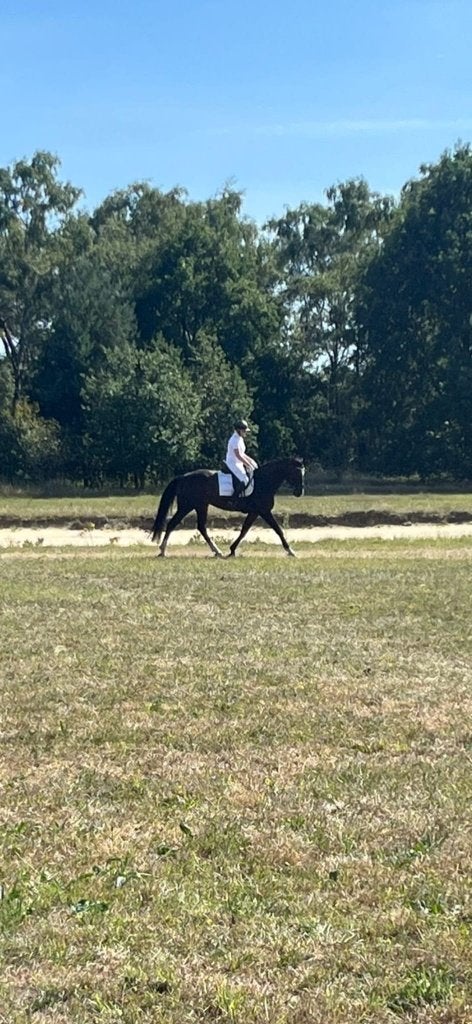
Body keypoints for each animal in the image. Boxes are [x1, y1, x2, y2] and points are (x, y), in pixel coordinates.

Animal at [151, 456, 305, 558]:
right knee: (173, 523)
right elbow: (278, 530)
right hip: (187, 506)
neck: (264, 481)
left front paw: (232, 550)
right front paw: (290, 551)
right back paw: (162, 550)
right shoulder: (264, 511)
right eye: (297, 472)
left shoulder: (255, 512)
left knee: (201, 527)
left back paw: (217, 551)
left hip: (201, 505)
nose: (299, 492)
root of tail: (183, 477)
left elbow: (244, 530)